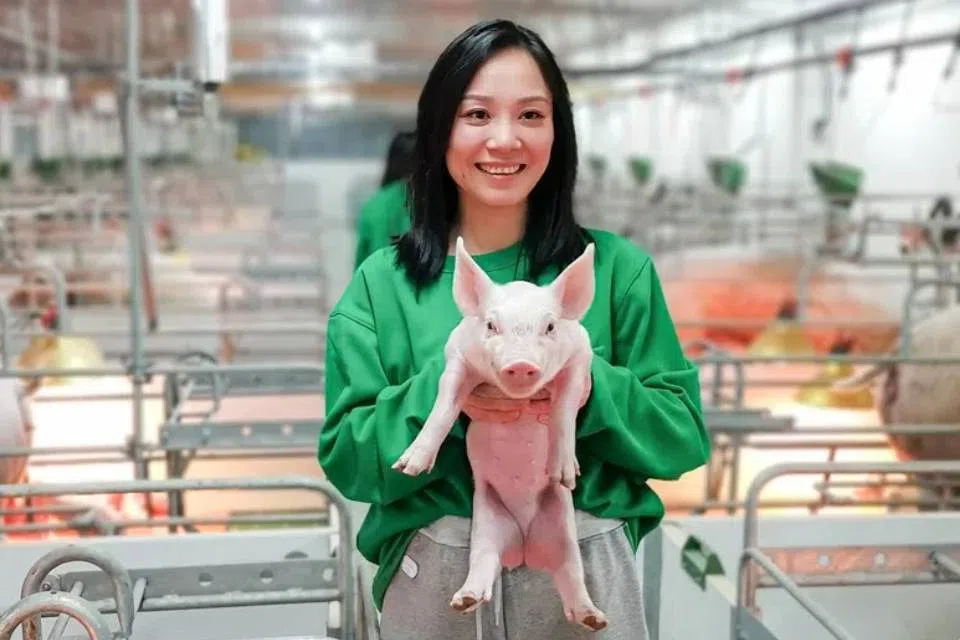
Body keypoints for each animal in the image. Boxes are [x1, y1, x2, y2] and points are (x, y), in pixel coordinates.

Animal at [392, 237, 607, 632]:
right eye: (491, 325)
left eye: (550, 327)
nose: (520, 364)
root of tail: (522, 547)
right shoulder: (458, 357)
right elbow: (443, 407)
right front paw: (408, 468)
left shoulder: (579, 361)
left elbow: (564, 411)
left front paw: (565, 474)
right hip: (486, 523)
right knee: (484, 562)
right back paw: (464, 601)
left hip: (563, 528)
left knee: (570, 572)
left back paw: (595, 619)